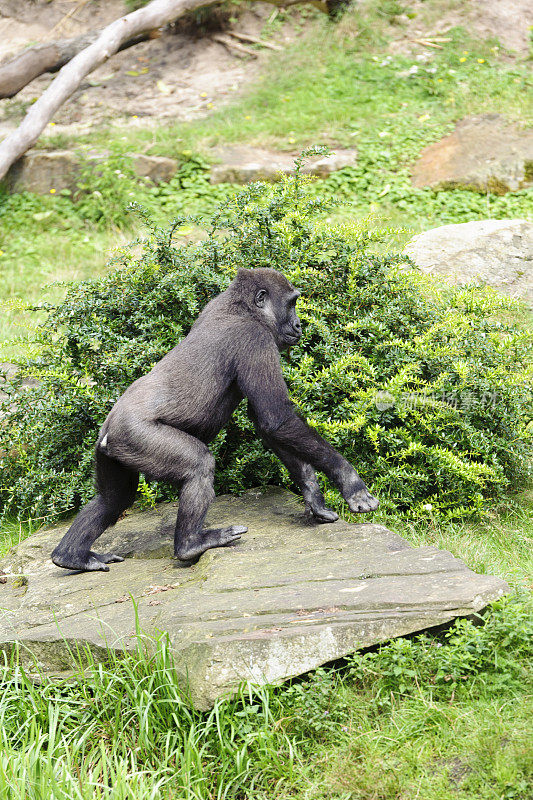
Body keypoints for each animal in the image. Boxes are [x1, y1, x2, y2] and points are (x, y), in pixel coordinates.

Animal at [51, 266, 378, 572]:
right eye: (292, 303)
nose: (299, 325)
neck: (242, 307)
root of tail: (108, 430)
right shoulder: (256, 339)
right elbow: (277, 419)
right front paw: (350, 482)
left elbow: (269, 426)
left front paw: (314, 497)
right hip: (134, 435)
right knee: (198, 465)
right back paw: (191, 545)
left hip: (111, 448)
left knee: (113, 499)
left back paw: (71, 556)